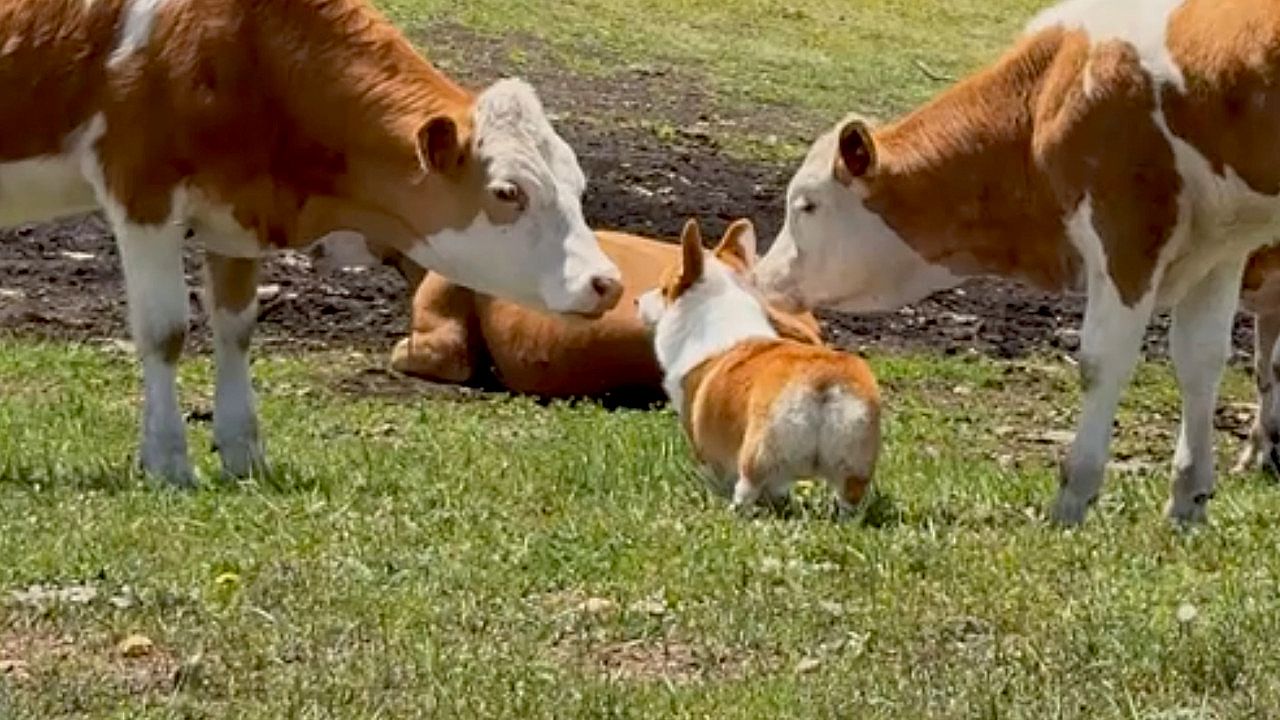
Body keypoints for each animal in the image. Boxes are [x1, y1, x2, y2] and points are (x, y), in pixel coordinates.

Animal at [0, 0, 622, 486]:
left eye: (578, 185)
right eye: (507, 191)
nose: (607, 282)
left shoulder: (235, 212)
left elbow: (236, 329)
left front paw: (244, 456)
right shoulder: (143, 195)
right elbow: (165, 332)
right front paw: (168, 462)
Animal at [752, 0, 1280, 526]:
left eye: (806, 205)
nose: (762, 278)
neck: (1052, 88)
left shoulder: (1125, 227)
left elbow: (1102, 361)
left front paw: (1073, 497)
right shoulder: (1219, 245)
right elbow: (1201, 360)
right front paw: (1187, 502)